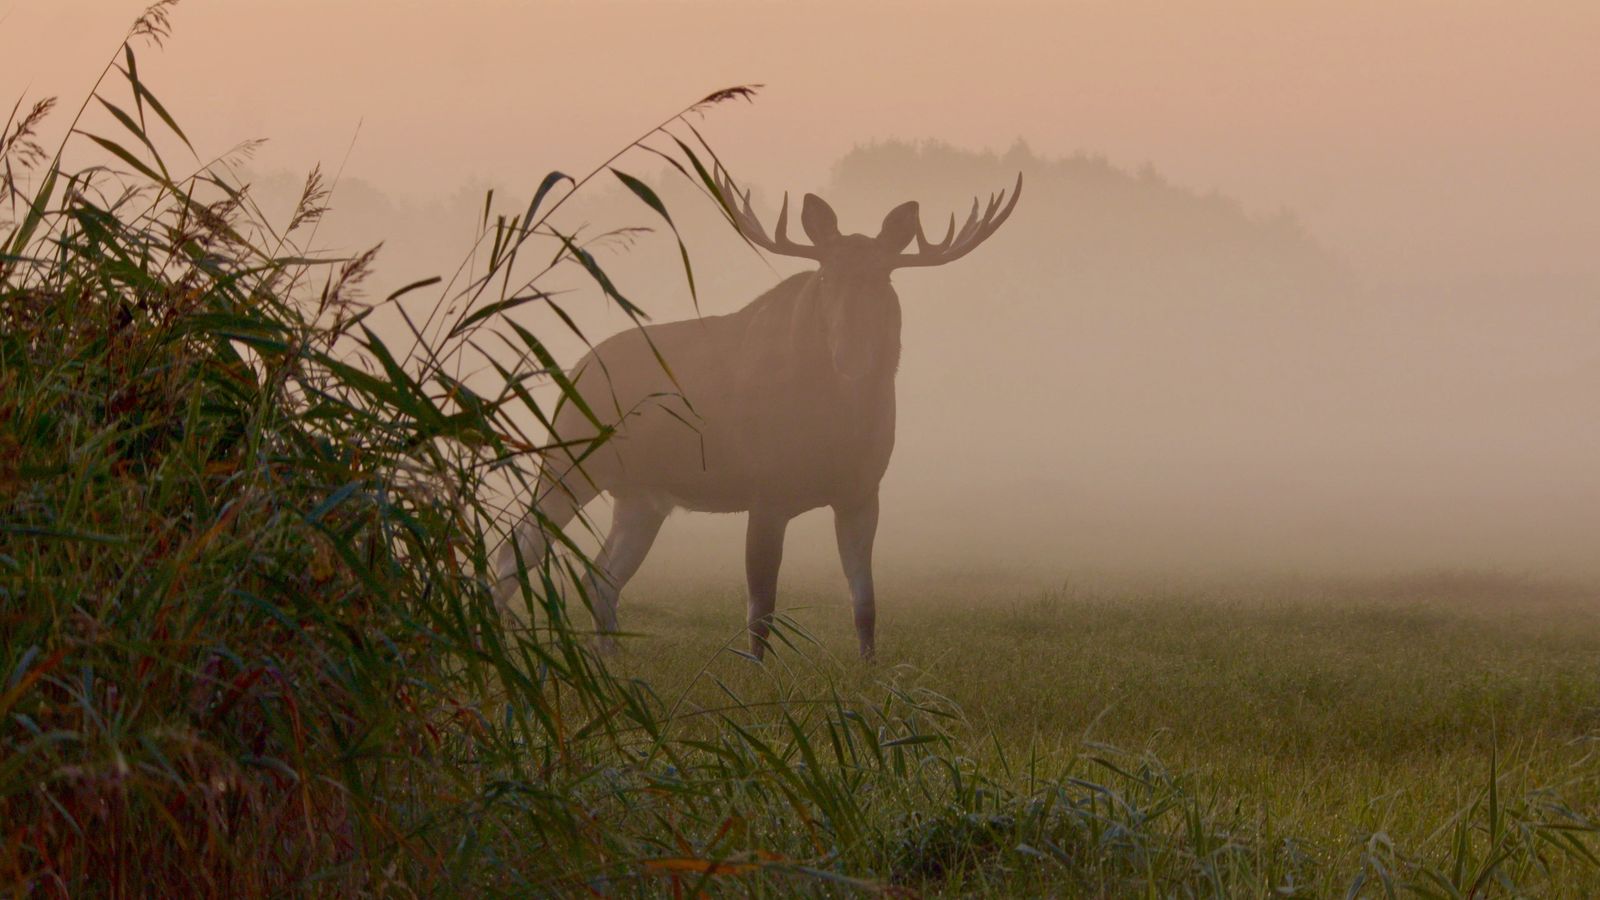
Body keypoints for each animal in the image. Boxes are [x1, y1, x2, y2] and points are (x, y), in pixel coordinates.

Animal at [495, 168, 1021, 660]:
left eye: (884, 277)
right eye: (825, 277)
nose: (851, 355)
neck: (836, 426)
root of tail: (576, 367)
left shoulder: (862, 491)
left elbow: (865, 603)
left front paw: (872, 670)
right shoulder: (766, 489)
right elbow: (761, 606)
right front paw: (758, 674)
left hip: (642, 495)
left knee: (601, 574)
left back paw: (609, 658)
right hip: (568, 459)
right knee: (514, 549)